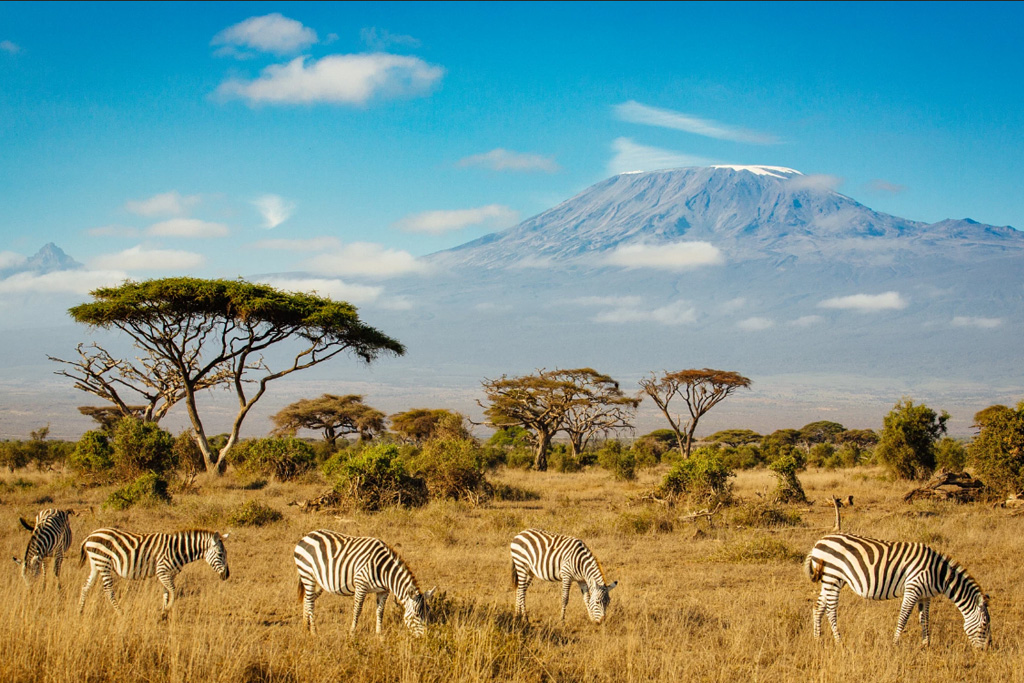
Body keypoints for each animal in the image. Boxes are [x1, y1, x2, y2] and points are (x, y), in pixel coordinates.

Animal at [78, 528, 230, 618]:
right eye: (221, 554)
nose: (227, 576)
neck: (178, 550)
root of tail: (91, 535)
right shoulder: (162, 570)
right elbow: (173, 590)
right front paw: (167, 610)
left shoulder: (168, 573)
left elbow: (166, 593)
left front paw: (163, 613)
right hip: (104, 563)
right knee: (108, 590)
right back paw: (120, 612)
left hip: (96, 564)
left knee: (85, 586)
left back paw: (80, 611)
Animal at [296, 532, 440, 638]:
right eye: (417, 615)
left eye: (428, 613)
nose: (425, 638)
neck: (384, 571)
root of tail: (307, 535)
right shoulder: (361, 585)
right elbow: (358, 609)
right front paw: (352, 633)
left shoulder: (383, 591)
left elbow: (380, 611)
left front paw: (379, 634)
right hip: (307, 575)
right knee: (310, 602)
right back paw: (314, 632)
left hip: (318, 582)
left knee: (307, 599)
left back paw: (304, 627)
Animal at [806, 532, 991, 651]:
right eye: (984, 625)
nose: (986, 650)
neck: (938, 574)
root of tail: (819, 542)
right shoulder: (913, 588)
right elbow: (904, 617)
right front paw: (895, 643)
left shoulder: (926, 595)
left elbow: (925, 619)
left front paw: (926, 645)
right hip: (833, 577)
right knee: (831, 610)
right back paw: (839, 641)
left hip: (830, 580)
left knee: (818, 606)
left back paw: (817, 638)